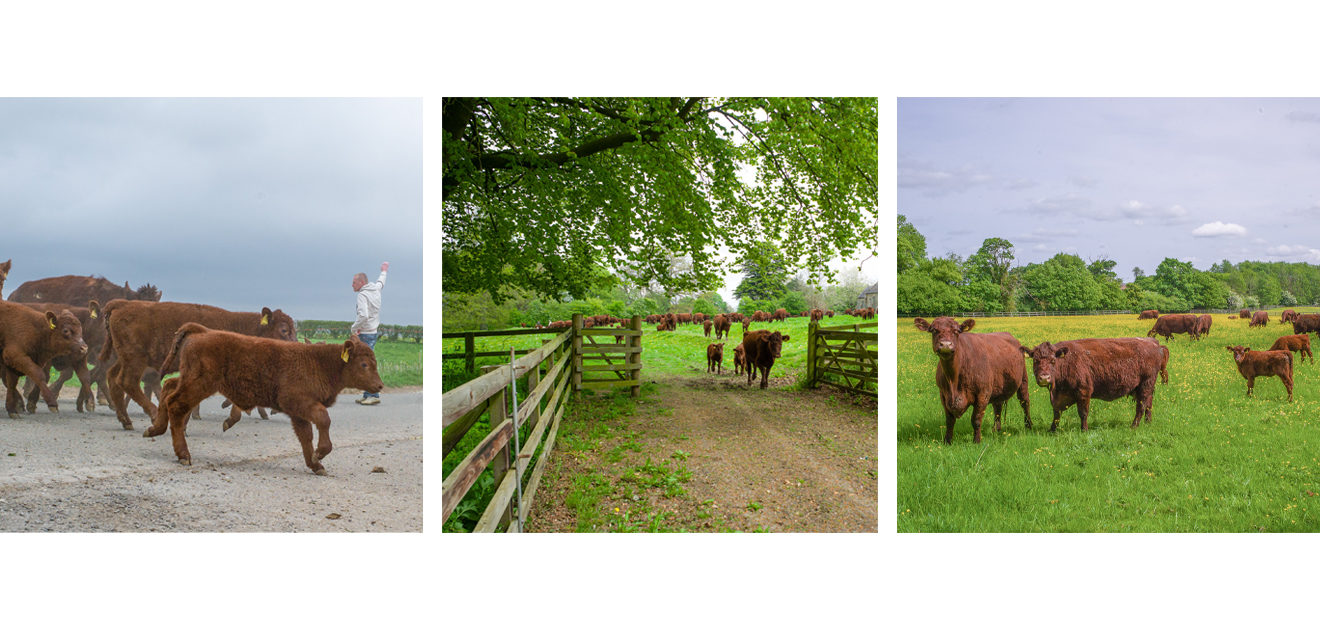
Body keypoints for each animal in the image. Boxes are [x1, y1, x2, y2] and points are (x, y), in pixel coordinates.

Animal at [99, 298, 298, 427]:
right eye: (284, 330)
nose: (296, 347)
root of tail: (122, 304)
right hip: (135, 359)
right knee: (127, 382)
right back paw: (153, 415)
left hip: (124, 359)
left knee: (113, 378)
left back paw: (126, 421)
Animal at [150, 323, 385, 470]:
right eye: (364, 364)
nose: (380, 385)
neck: (319, 362)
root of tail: (203, 331)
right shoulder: (300, 403)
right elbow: (323, 420)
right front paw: (320, 455)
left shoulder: (298, 413)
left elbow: (306, 436)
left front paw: (315, 465)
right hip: (199, 384)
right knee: (176, 404)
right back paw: (183, 455)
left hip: (189, 380)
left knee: (169, 388)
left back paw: (154, 428)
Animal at [1019, 338, 1166, 433]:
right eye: (1035, 360)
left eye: (1053, 360)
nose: (1044, 377)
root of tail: (1153, 342)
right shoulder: (1058, 396)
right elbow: (1056, 413)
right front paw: (1052, 430)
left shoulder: (1084, 392)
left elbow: (1083, 413)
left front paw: (1084, 430)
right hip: (1145, 388)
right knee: (1149, 404)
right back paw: (1148, 422)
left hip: (1145, 385)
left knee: (1141, 406)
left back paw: (1134, 426)